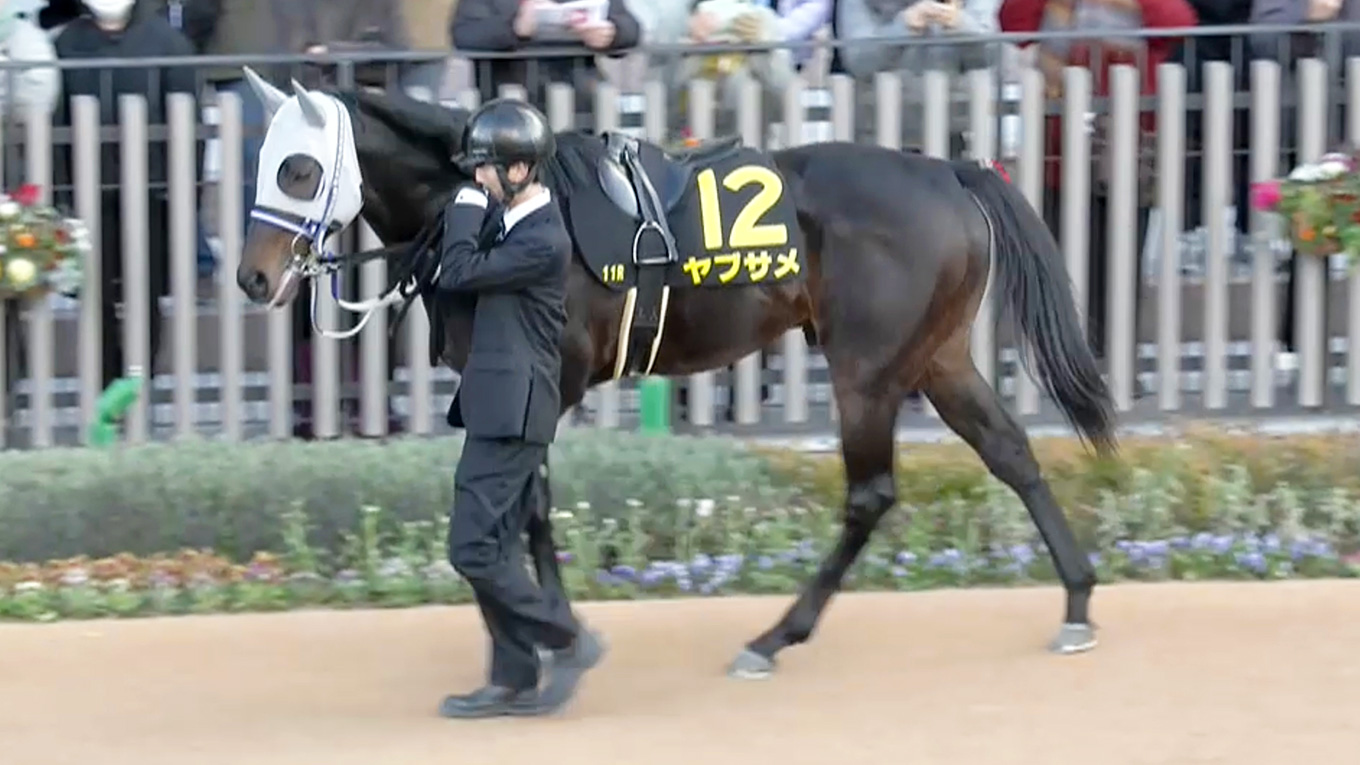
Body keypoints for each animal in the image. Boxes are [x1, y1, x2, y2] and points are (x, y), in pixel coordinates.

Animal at [233, 68, 1117, 679]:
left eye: (298, 170)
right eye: (266, 162)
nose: (251, 276)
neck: (503, 210)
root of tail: (949, 172)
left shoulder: (550, 380)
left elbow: (530, 509)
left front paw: (554, 634)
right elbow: (526, 505)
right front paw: (542, 631)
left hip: (867, 370)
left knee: (871, 494)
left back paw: (773, 637)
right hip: (936, 355)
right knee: (1009, 452)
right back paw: (1077, 600)